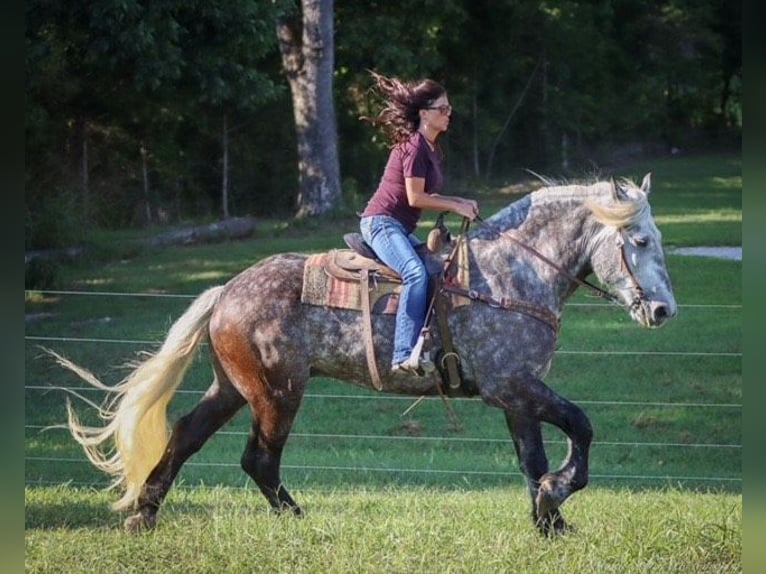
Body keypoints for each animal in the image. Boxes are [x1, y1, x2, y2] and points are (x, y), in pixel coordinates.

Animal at [51, 173, 680, 536]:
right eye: (640, 240)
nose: (663, 311)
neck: (513, 275)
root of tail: (226, 291)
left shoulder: (516, 395)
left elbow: (533, 458)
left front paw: (550, 520)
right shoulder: (515, 387)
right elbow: (582, 426)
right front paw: (557, 497)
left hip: (232, 387)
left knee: (186, 435)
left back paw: (144, 514)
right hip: (278, 392)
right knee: (259, 459)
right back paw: (295, 519)